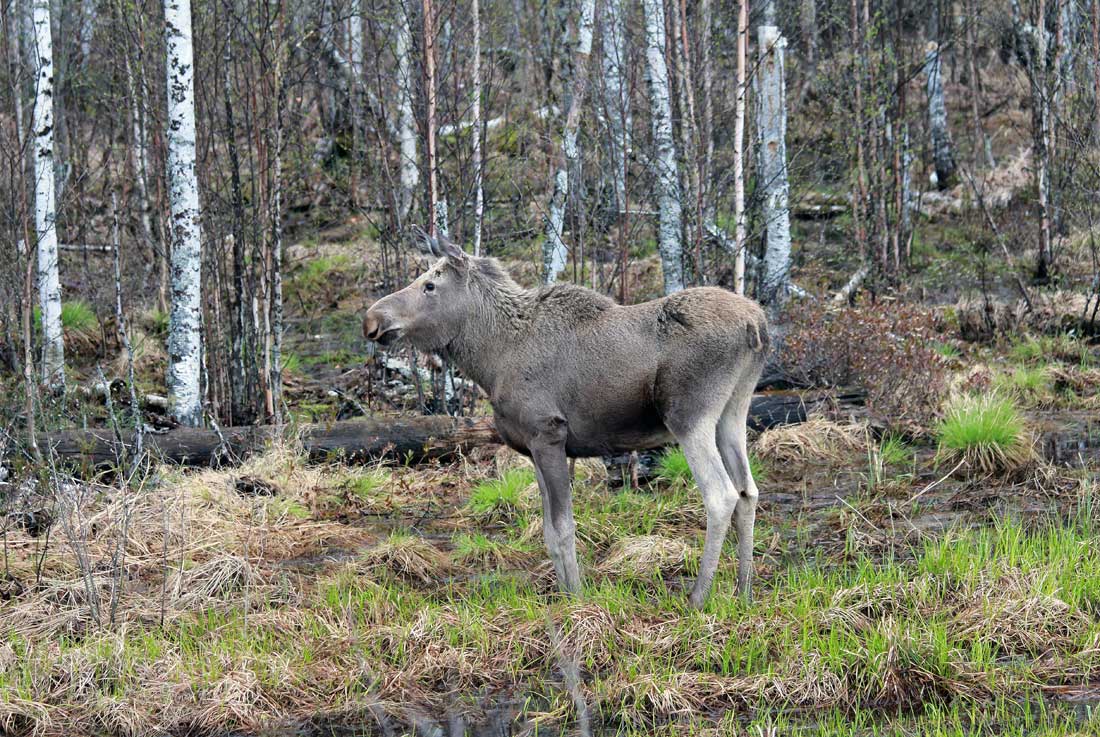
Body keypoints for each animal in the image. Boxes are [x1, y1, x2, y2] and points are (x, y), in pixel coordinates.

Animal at [365, 234, 770, 607]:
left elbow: (562, 528)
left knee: (721, 495)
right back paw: (744, 593)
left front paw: (575, 598)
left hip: (689, 415)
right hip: (732, 412)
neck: (490, 361)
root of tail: (757, 324)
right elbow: (547, 530)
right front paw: (563, 593)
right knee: (748, 491)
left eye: (430, 284)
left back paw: (698, 599)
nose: (372, 319)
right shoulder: (532, 447)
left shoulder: (548, 433)